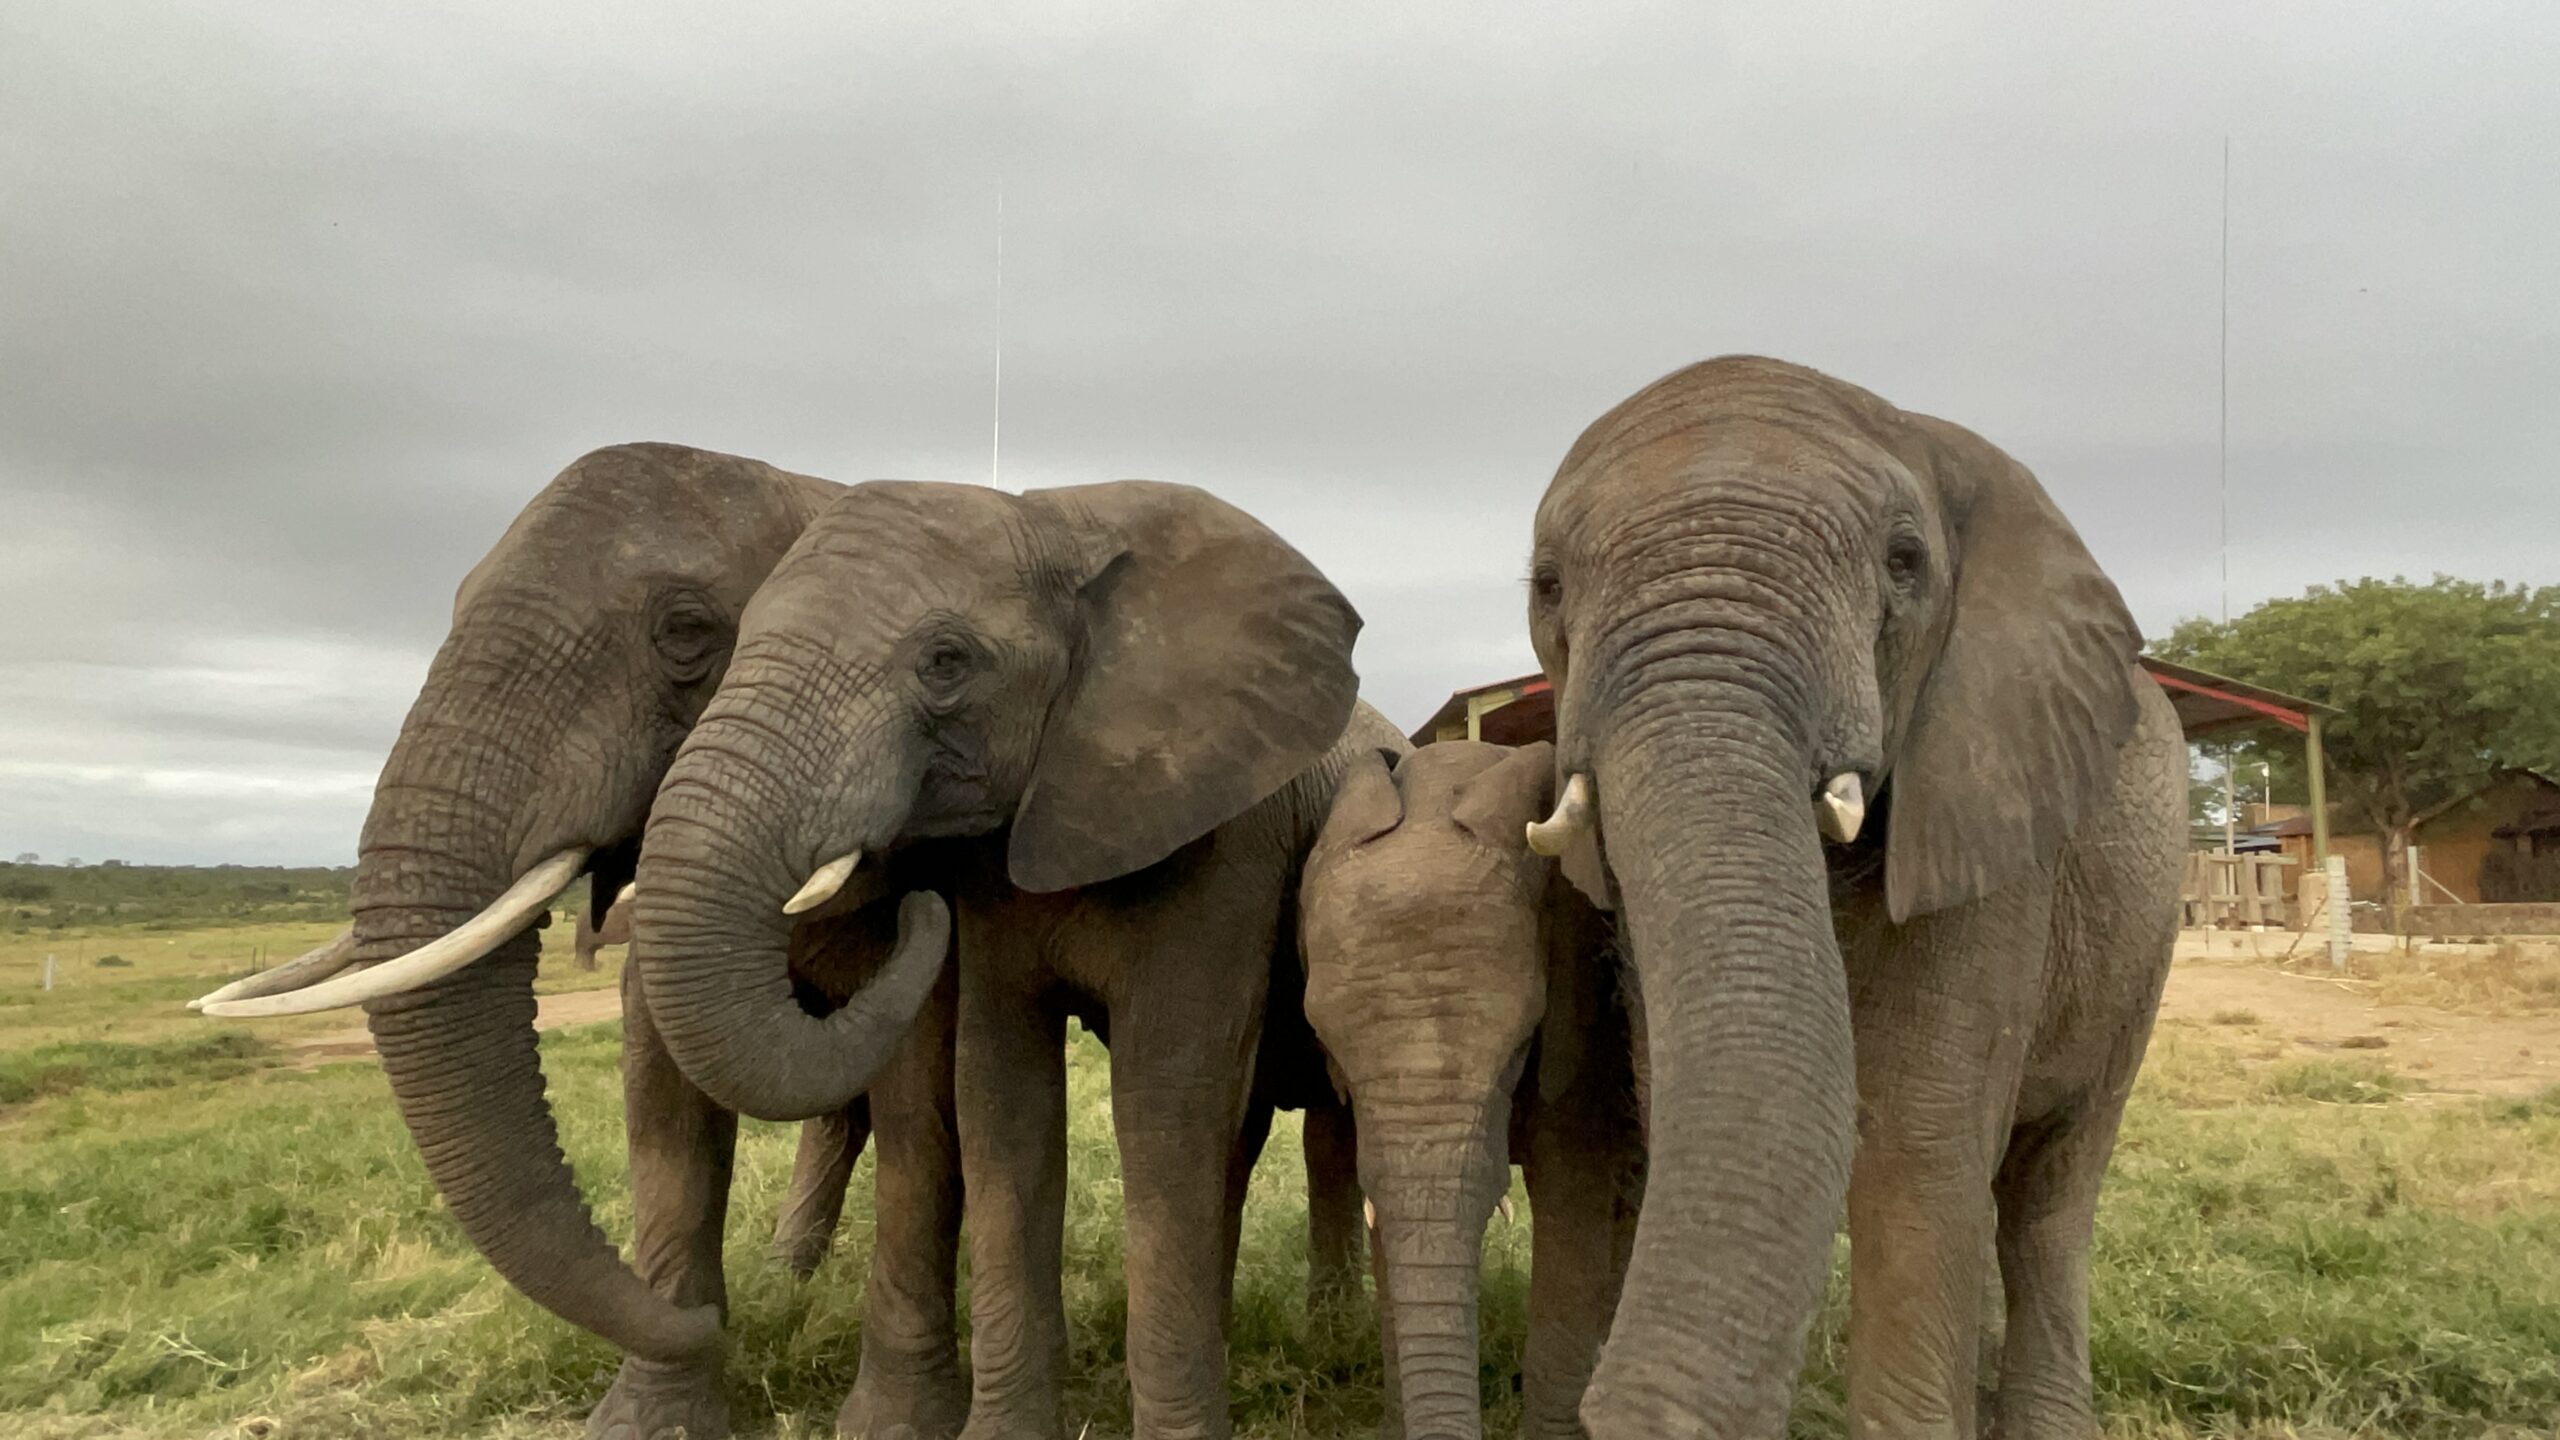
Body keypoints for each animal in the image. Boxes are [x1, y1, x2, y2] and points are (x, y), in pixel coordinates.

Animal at [629, 476, 1405, 1440]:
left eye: (947, 661)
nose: (915, 903)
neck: (1057, 519)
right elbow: (1002, 1098)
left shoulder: (1228, 840)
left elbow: (1165, 1097)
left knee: (1317, 1130)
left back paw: (1330, 1337)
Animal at [1521, 356, 2184, 1439]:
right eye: (1546, 586)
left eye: (1904, 563)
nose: (1595, 1410)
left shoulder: (1990, 811)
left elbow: (1916, 1154)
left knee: (2050, 1194)